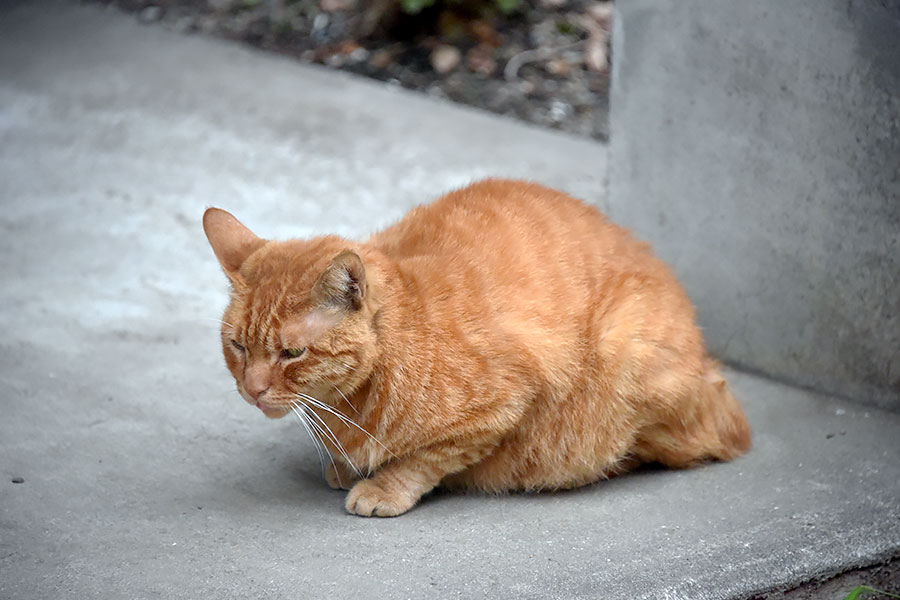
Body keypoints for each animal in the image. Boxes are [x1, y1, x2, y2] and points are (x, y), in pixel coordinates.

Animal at [204, 178, 752, 516]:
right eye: (238, 346)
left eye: (291, 354)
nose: (252, 389)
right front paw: (343, 464)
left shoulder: (501, 407)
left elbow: (424, 460)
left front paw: (382, 486)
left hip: (627, 348)